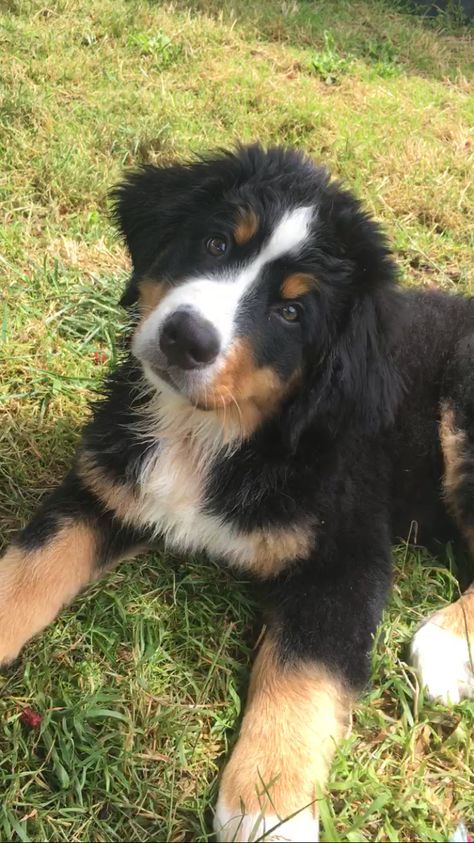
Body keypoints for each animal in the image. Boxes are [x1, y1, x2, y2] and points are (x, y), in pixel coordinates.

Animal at [0, 142, 474, 840]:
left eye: (292, 311)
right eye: (217, 243)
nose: (185, 337)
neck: (211, 433)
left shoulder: (344, 557)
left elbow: (302, 673)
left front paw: (268, 808)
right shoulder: (108, 485)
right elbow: (30, 565)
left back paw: (445, 642)